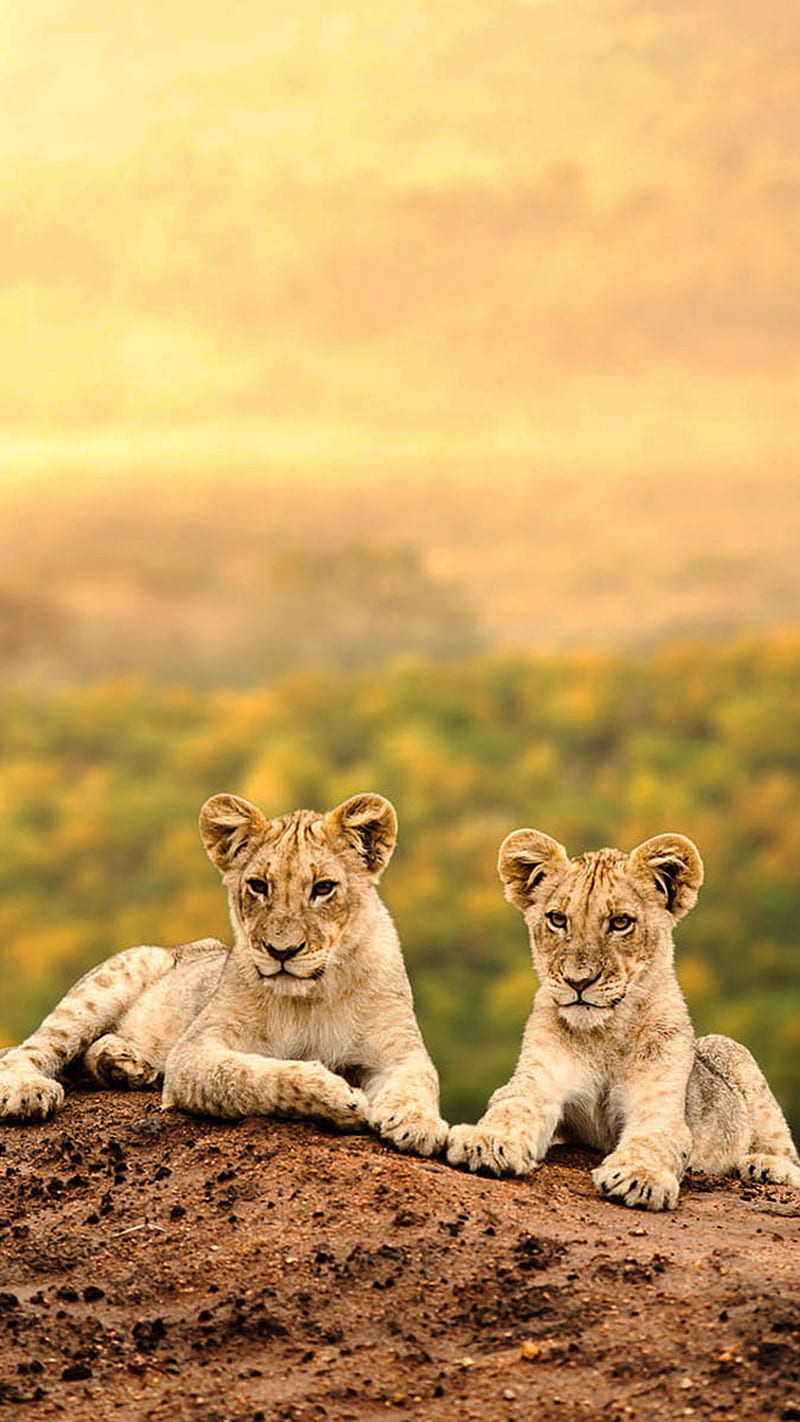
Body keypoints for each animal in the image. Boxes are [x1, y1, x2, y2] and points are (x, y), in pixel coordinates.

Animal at [0, 792, 448, 1158]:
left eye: (323, 888)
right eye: (258, 886)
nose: (282, 952)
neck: (312, 995)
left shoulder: (398, 1049)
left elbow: (419, 1082)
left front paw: (420, 1125)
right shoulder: (194, 1052)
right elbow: (254, 1075)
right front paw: (337, 1095)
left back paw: (124, 1064)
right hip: (111, 981)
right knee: (33, 1050)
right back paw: (28, 1090)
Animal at [447, 828, 800, 1209]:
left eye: (620, 923)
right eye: (557, 919)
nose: (578, 981)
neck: (604, 1034)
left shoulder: (660, 1107)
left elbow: (652, 1139)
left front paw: (639, 1178)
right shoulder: (540, 1081)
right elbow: (512, 1106)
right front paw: (486, 1141)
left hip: (732, 1052)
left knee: (786, 1151)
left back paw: (765, 1167)